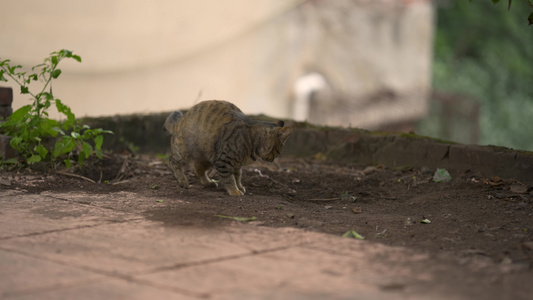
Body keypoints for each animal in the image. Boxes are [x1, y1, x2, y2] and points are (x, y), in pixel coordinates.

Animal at [165, 99, 294, 196]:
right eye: (278, 152)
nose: (273, 160)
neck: (251, 141)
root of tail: (180, 121)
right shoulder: (223, 161)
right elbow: (229, 178)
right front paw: (234, 191)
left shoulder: (236, 165)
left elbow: (237, 177)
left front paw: (239, 187)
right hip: (184, 151)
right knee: (173, 162)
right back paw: (182, 180)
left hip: (207, 156)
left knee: (197, 169)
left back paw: (208, 182)